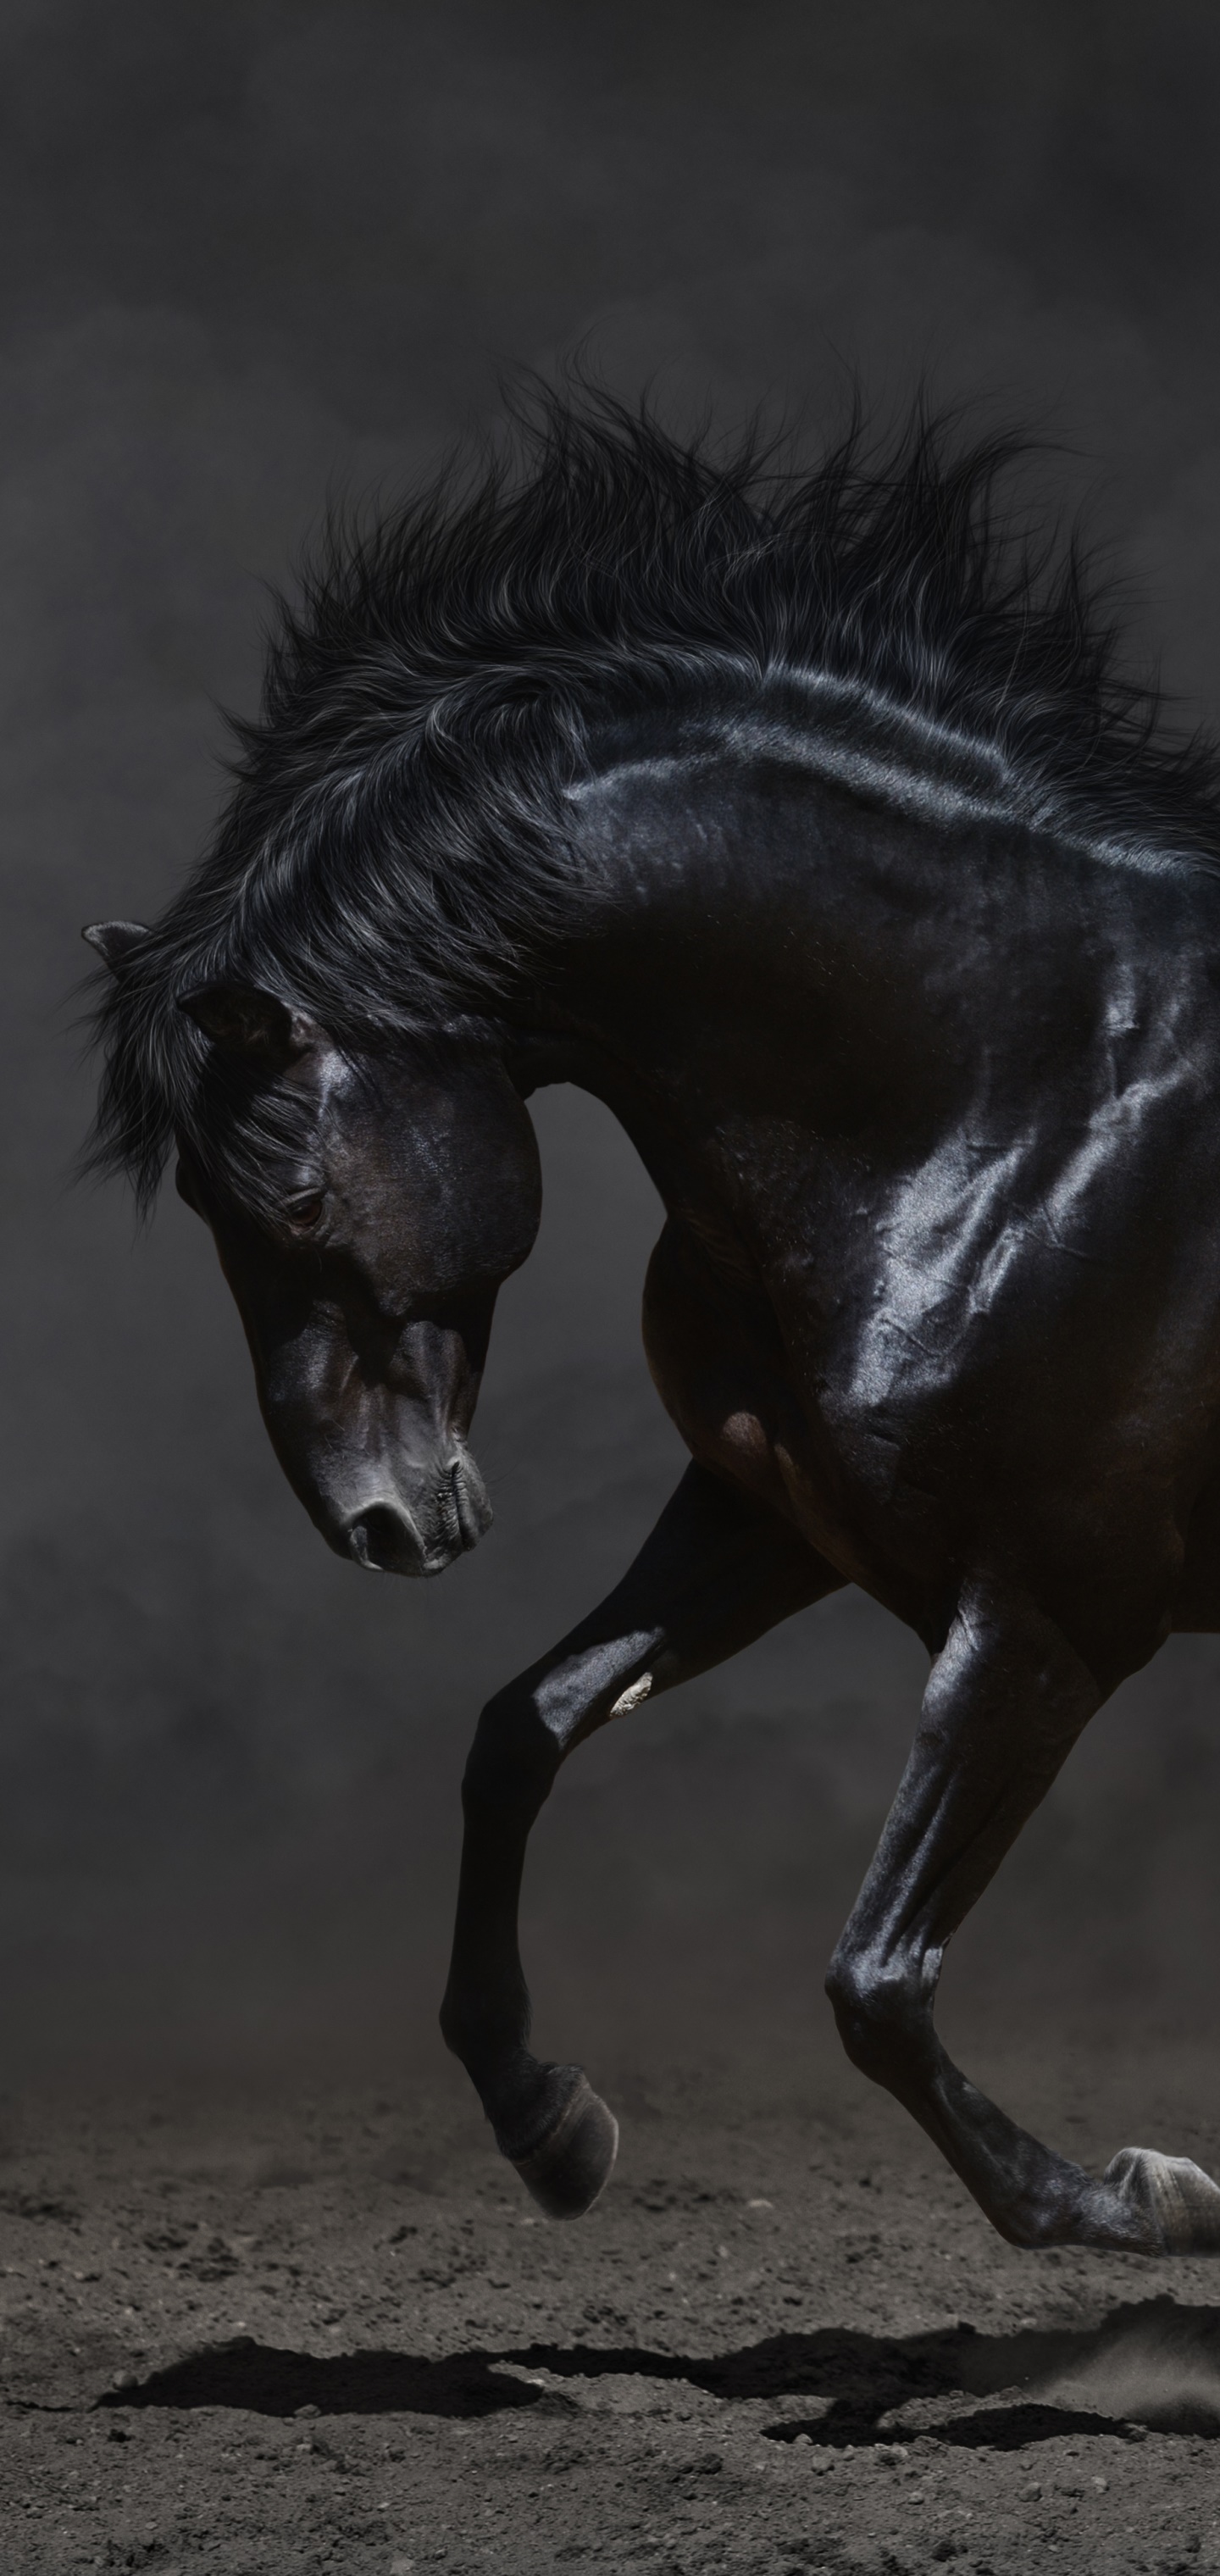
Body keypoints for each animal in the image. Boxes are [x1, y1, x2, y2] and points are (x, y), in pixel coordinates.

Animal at [85, 392, 1220, 2257]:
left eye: (294, 1197)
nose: (375, 1521)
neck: (1028, 1088)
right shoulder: (774, 1516)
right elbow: (522, 1732)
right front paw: (548, 2122)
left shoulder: (1048, 1614)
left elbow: (875, 1980)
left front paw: (1143, 2200)